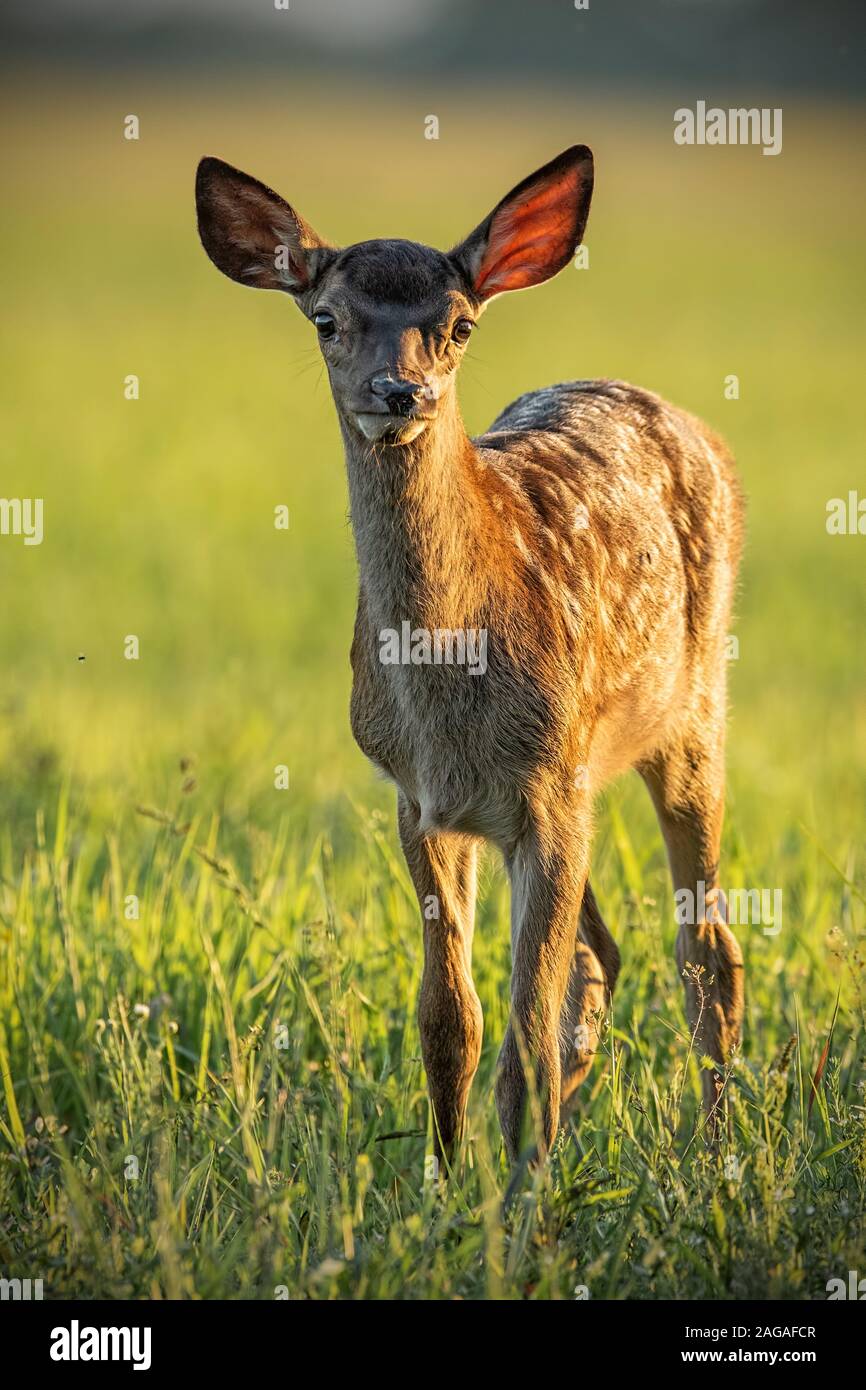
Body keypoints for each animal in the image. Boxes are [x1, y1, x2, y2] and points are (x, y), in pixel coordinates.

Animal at [195, 143, 745, 1162]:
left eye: (458, 325)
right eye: (326, 319)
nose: (397, 392)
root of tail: (685, 419)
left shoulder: (548, 792)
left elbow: (523, 1034)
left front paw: (517, 1193)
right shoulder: (424, 799)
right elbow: (451, 1020)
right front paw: (449, 1177)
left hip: (689, 716)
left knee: (707, 954)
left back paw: (716, 1149)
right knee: (602, 954)